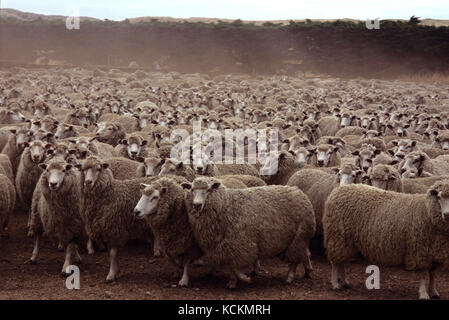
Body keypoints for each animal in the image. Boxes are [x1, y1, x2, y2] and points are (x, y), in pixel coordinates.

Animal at [182, 176, 316, 288]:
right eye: (192, 189)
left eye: (209, 190)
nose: (197, 204)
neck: (226, 205)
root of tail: (299, 192)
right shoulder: (225, 246)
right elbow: (231, 266)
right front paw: (233, 281)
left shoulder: (240, 244)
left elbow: (235, 266)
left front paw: (245, 278)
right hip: (296, 239)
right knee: (303, 254)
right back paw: (307, 270)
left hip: (299, 237)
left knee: (294, 260)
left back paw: (290, 277)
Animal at [320, 182, 449, 300]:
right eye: (438, 197)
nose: (447, 214)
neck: (426, 211)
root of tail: (337, 191)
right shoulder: (419, 252)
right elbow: (423, 275)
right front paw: (423, 294)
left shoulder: (435, 253)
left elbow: (432, 274)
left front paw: (433, 291)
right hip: (337, 236)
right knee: (335, 263)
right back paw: (335, 284)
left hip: (345, 241)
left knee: (341, 261)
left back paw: (344, 282)